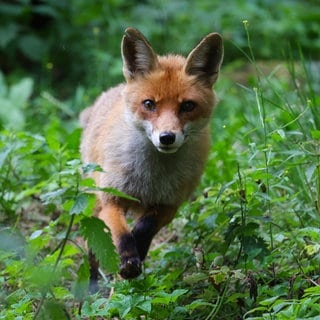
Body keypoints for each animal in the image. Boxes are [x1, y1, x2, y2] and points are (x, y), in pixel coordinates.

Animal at [79, 27, 224, 286]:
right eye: (149, 104)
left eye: (188, 106)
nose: (166, 137)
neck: (151, 178)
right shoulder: (112, 198)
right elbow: (121, 234)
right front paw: (128, 259)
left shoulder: (169, 204)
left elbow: (145, 228)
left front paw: (139, 248)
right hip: (93, 201)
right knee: (92, 247)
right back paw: (91, 286)